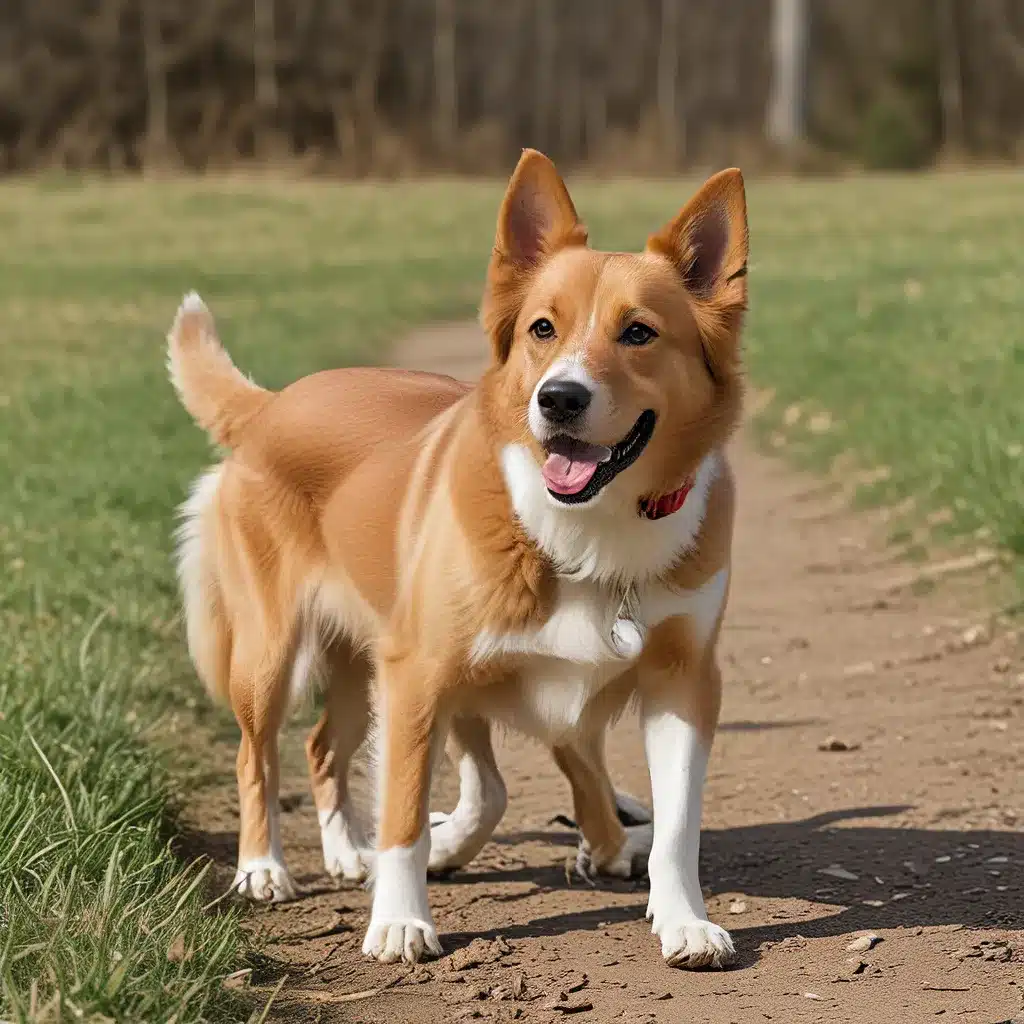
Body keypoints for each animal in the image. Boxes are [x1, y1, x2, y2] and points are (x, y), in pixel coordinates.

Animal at [167, 149, 745, 966]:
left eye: (639, 332)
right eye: (542, 328)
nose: (558, 398)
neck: (589, 525)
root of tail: (270, 404)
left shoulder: (683, 679)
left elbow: (676, 825)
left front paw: (683, 917)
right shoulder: (421, 673)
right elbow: (408, 809)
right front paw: (400, 919)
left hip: (366, 665)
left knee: (327, 749)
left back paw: (357, 852)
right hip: (274, 653)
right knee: (261, 756)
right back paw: (266, 868)